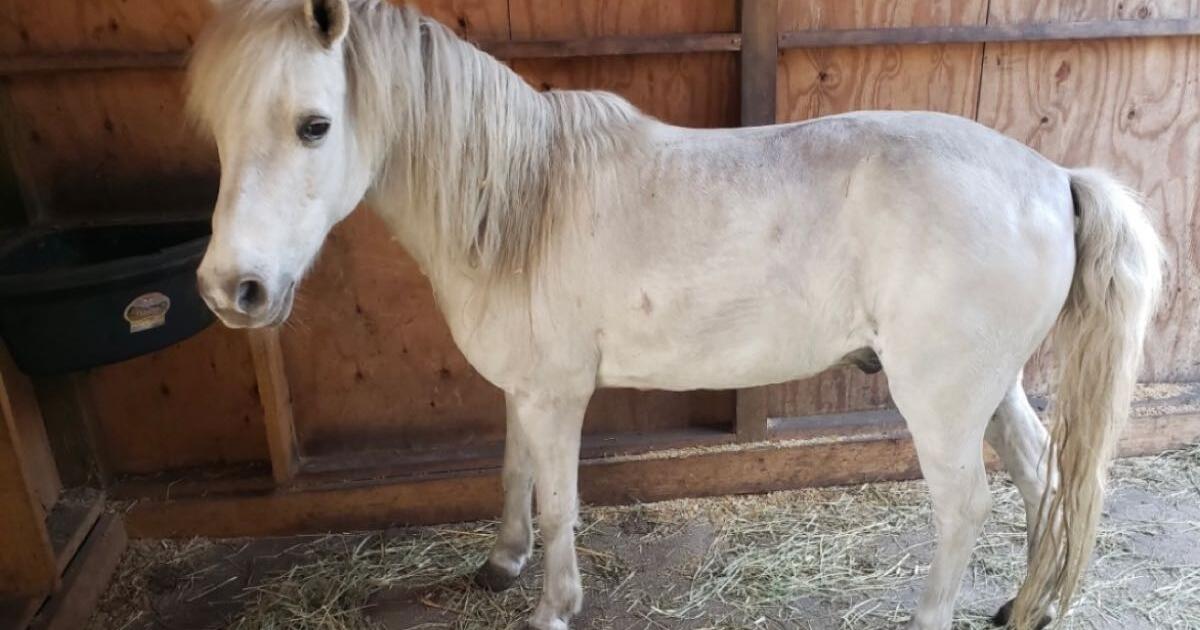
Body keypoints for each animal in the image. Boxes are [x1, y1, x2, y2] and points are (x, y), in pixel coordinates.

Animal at [187, 1, 1164, 628]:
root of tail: (1054, 177)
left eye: (314, 125)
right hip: (994, 390)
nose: (233, 290)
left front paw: (552, 607)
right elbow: (511, 475)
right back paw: (1030, 607)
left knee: (964, 505)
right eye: (218, 131)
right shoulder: (524, 392)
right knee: (1045, 478)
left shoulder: (557, 397)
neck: (521, 204)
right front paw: (501, 564)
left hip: (942, 400)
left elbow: (558, 505)